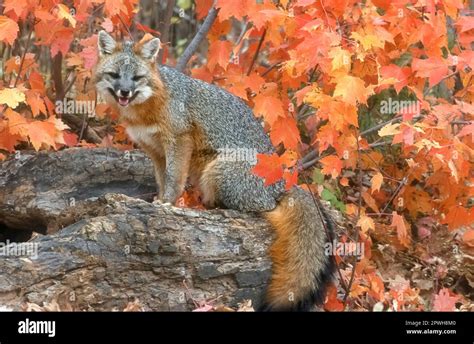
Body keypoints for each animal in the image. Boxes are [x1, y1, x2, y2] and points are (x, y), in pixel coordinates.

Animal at [95, 30, 334, 312]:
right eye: (114, 75)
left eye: (136, 78)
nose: (124, 91)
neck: (147, 109)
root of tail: (280, 187)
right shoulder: (154, 151)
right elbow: (162, 180)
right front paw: (159, 200)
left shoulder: (179, 139)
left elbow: (174, 179)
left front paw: (167, 204)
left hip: (216, 172)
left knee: (248, 207)